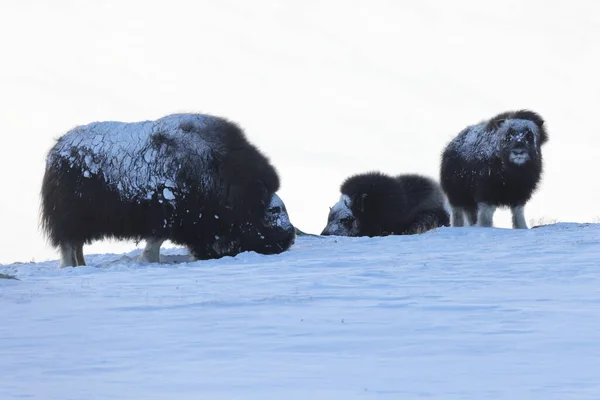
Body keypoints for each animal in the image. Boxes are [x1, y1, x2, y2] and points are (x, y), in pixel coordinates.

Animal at [40, 113, 298, 268]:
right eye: (273, 210)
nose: (290, 237)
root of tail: (57, 149)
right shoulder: (166, 215)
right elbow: (155, 241)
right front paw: (151, 261)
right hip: (69, 217)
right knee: (68, 244)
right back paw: (71, 267)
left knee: (77, 245)